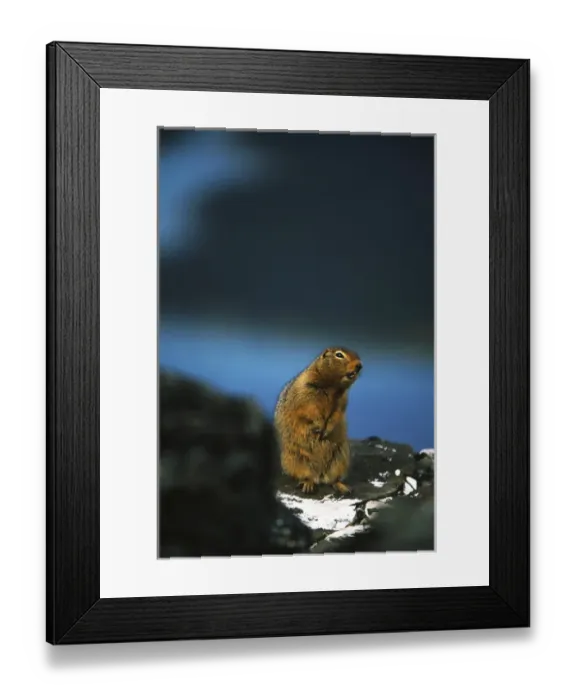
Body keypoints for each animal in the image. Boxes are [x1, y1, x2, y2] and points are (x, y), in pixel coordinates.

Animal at [273, 347, 363, 495]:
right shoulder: (306, 390)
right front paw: (319, 426)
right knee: (307, 476)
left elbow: (337, 413)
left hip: (340, 459)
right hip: (295, 460)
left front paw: (327, 429)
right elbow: (310, 409)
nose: (359, 365)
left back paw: (343, 487)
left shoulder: (342, 399)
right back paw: (308, 485)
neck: (332, 386)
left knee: (333, 480)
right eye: (339, 355)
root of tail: (319, 476)